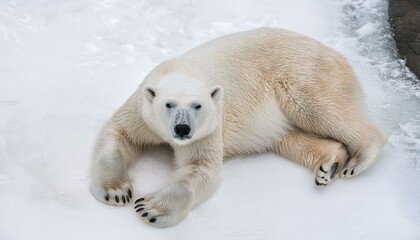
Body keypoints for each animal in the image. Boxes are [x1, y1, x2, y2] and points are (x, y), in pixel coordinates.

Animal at [90, 27, 388, 228]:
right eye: (168, 104)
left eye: (198, 106)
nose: (183, 129)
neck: (182, 70)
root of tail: (342, 59)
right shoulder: (142, 110)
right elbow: (119, 134)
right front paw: (116, 192)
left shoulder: (211, 125)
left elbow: (200, 168)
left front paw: (150, 207)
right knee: (289, 136)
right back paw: (330, 164)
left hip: (301, 74)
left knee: (319, 107)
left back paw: (358, 159)